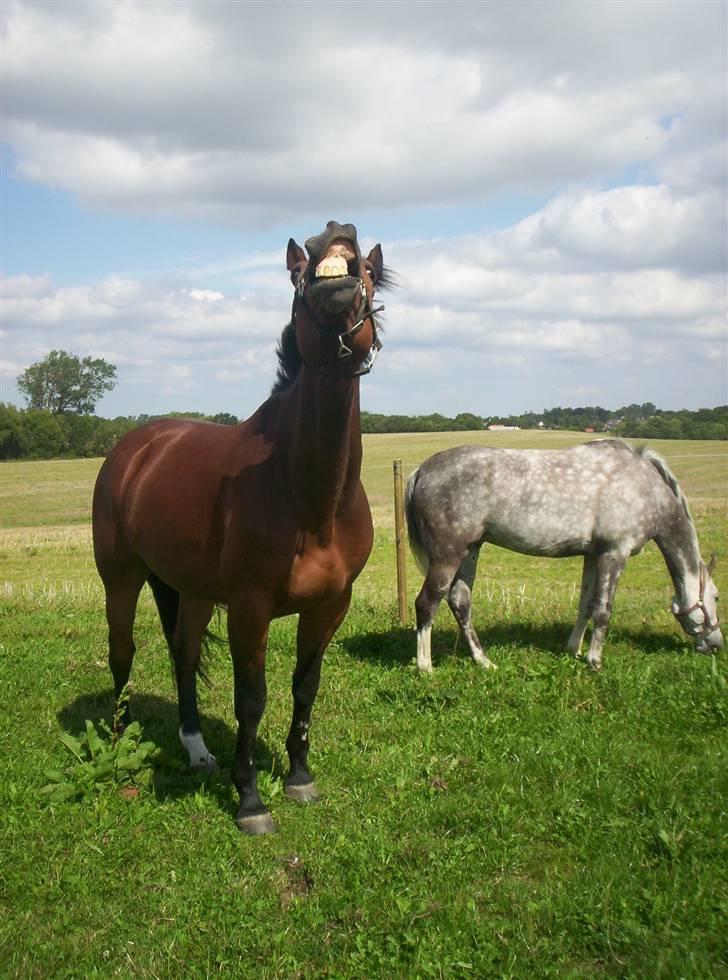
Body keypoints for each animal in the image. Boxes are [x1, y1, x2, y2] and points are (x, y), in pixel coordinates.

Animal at [96, 218, 392, 832]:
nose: (336, 230)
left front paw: (299, 777)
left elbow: (305, 686)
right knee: (122, 653)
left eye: (372, 272)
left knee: (183, 654)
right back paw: (118, 741)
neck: (311, 502)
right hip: (121, 578)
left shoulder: (330, 605)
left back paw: (196, 750)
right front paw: (251, 800)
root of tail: (136, 448)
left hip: (191, 589)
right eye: (299, 272)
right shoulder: (250, 608)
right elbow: (251, 697)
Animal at [404, 440, 724, 668]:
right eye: (717, 597)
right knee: (427, 603)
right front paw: (594, 661)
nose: (716, 645)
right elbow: (604, 610)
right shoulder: (614, 554)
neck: (642, 487)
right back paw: (425, 666)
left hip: (470, 551)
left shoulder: (593, 555)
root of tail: (421, 470)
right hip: (448, 556)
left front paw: (574, 649)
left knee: (460, 603)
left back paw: (483, 661)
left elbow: (586, 604)